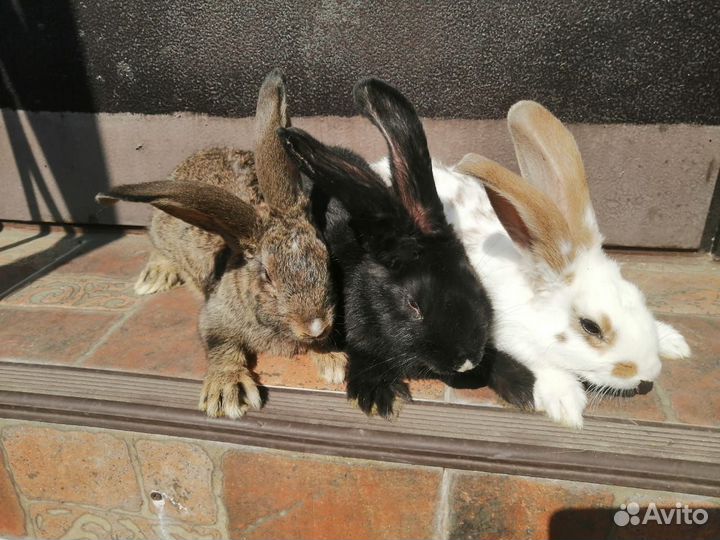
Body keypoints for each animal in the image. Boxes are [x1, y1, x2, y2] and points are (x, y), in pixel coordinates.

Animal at [95, 69, 345, 418]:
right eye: (267, 276)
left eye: (326, 259)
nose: (315, 325)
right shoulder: (215, 318)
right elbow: (222, 347)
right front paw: (227, 391)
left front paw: (334, 362)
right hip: (161, 231)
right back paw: (154, 277)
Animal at [417, 100, 690, 428]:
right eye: (591, 327)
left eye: (638, 295)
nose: (648, 373)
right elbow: (541, 362)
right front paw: (566, 402)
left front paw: (673, 341)